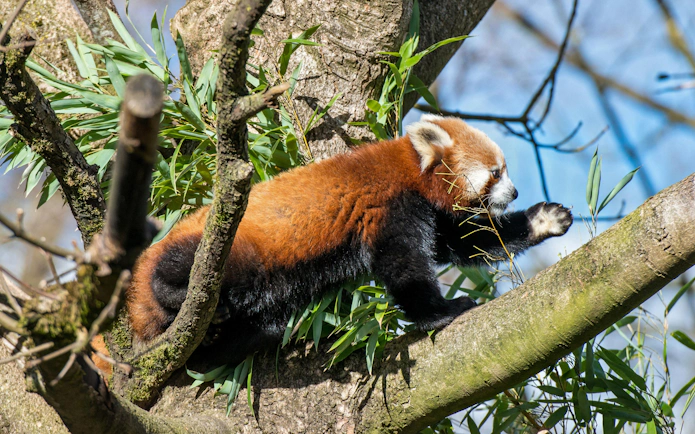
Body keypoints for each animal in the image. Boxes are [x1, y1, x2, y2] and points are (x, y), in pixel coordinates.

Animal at [126, 115, 572, 360]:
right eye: (496, 173)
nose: (515, 192)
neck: (410, 171)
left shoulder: (434, 216)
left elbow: (469, 242)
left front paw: (544, 220)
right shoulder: (390, 208)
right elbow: (405, 266)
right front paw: (443, 310)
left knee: (262, 326)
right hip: (226, 249)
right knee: (187, 269)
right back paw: (177, 292)